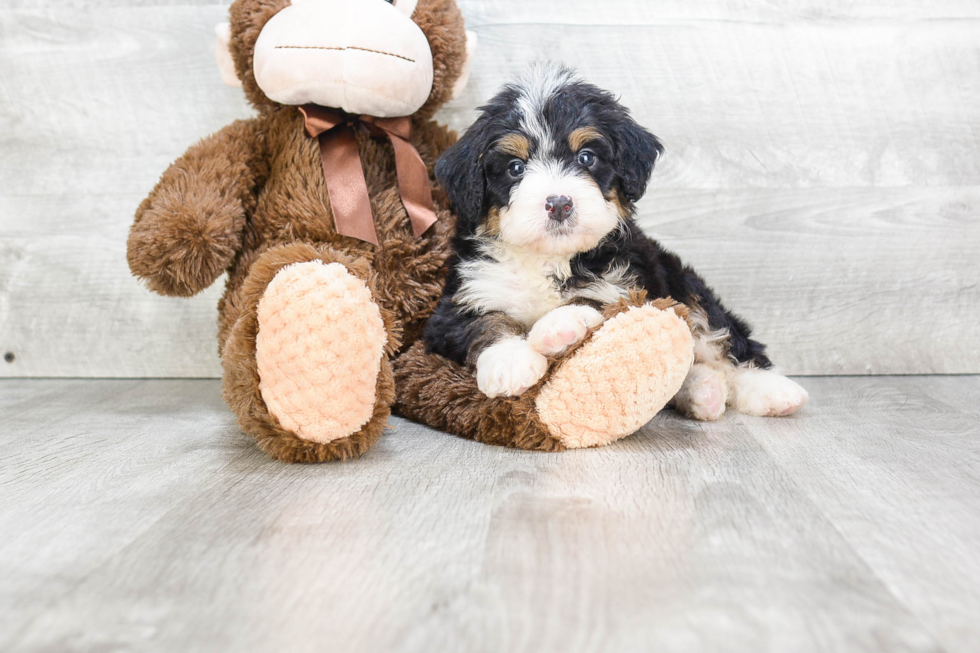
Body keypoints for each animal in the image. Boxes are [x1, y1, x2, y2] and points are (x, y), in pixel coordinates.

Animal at [424, 63, 808, 420]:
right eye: (515, 168)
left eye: (586, 157)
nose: (559, 203)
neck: (550, 257)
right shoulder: (456, 304)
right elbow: (485, 322)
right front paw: (509, 362)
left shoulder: (632, 282)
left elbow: (601, 299)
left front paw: (559, 324)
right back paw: (704, 390)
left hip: (684, 283)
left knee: (725, 337)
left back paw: (772, 391)